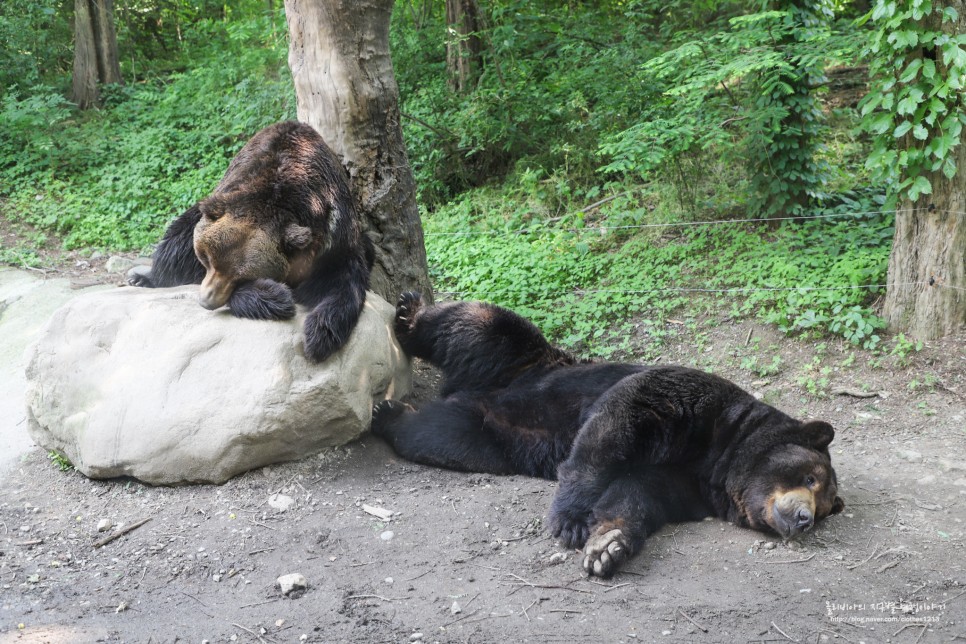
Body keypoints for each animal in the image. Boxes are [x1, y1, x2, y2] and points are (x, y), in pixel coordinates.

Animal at [134, 121, 376, 362]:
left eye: (242, 276)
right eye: (207, 259)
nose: (206, 300)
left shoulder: (334, 240)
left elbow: (343, 283)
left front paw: (319, 336)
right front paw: (276, 297)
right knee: (174, 245)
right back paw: (142, 278)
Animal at [374, 294, 844, 580]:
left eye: (824, 508)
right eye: (810, 477)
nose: (804, 519)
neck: (719, 458)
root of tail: (462, 388)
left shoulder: (690, 483)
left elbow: (639, 494)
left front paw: (608, 546)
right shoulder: (694, 404)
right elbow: (615, 425)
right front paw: (570, 521)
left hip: (489, 433)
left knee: (441, 434)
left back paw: (393, 415)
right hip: (520, 361)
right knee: (480, 324)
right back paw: (408, 316)